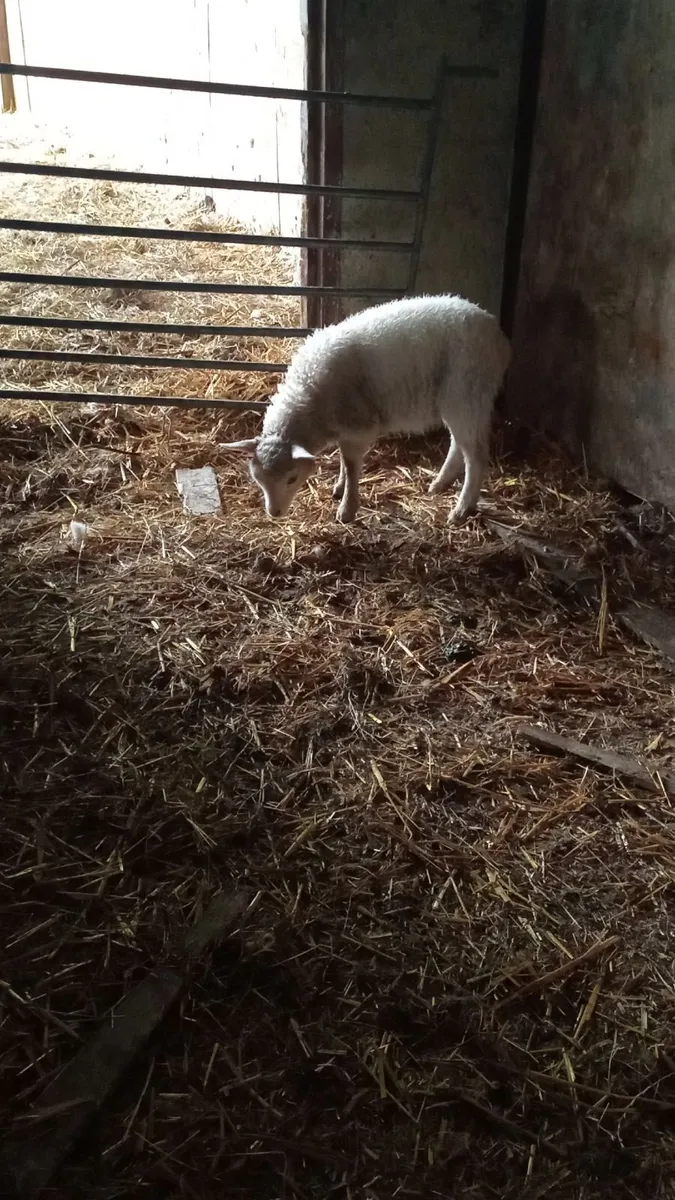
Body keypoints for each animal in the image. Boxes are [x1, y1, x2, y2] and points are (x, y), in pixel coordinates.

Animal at [222, 293, 511, 524]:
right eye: (258, 479)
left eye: (292, 478)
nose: (274, 514)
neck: (309, 395)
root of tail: (496, 333)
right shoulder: (344, 429)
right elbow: (343, 460)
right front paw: (339, 488)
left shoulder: (358, 429)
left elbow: (352, 467)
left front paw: (347, 509)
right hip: (458, 401)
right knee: (458, 443)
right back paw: (439, 484)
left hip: (467, 392)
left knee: (475, 456)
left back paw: (461, 509)